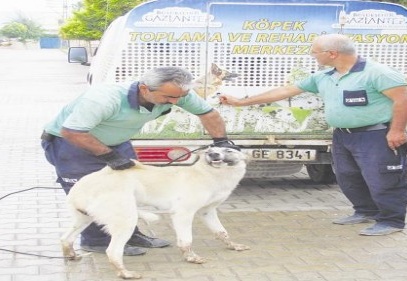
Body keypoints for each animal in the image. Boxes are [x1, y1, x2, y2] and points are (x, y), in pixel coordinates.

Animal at [60, 145, 250, 278]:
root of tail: (80, 186)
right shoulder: (183, 214)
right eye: (210, 150)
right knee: (112, 252)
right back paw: (125, 273)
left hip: (83, 220)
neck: (209, 173)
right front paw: (191, 258)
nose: (212, 155)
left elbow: (222, 232)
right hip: (126, 221)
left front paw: (234, 246)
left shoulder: (208, 212)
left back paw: (71, 256)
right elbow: (186, 241)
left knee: (65, 239)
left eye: (227, 149)